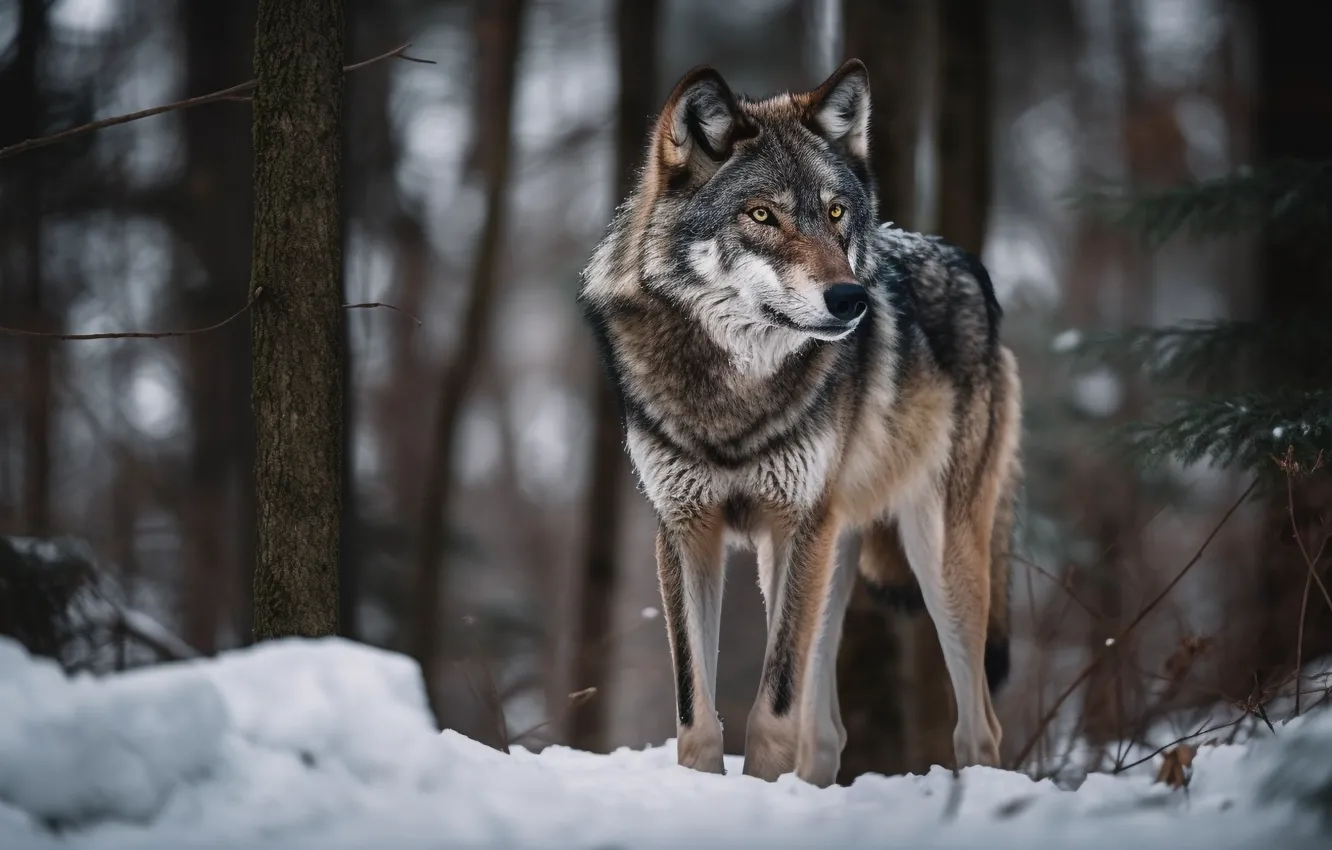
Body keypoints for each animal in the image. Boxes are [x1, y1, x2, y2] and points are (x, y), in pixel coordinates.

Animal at [577, 58, 1022, 787]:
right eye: (763, 214)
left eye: (836, 212)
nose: (852, 299)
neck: (732, 395)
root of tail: (972, 268)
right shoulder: (685, 531)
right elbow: (696, 713)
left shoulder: (795, 525)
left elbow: (773, 709)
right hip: (814, 556)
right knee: (829, 733)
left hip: (932, 551)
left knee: (979, 726)